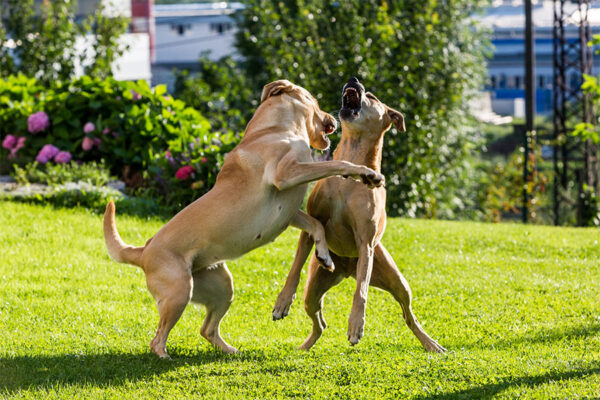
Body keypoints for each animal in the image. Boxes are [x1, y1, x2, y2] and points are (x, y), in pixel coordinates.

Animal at [103, 79, 384, 358]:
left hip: (220, 286)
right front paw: (368, 174)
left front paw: (324, 255)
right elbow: (337, 165)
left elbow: (316, 224)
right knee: (157, 338)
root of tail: (143, 251)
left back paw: (231, 351)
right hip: (178, 292)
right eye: (313, 100)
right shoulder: (287, 173)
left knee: (207, 329)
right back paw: (164, 357)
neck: (274, 129)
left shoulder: (290, 212)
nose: (332, 117)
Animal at [272, 78, 446, 354]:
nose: (353, 80)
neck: (348, 178)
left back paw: (430, 343)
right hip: (315, 285)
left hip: (394, 277)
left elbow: (361, 290)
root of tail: (346, 268)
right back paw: (304, 346)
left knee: (407, 312)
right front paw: (282, 301)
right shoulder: (310, 229)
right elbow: (295, 267)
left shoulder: (366, 241)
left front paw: (356, 324)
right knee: (318, 319)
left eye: (372, 97)